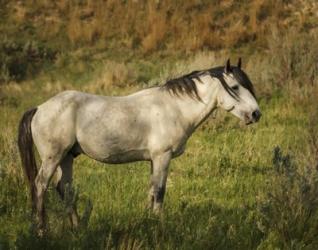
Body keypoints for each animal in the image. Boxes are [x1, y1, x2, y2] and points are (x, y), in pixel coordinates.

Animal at [18, 58, 260, 232]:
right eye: (235, 87)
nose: (256, 114)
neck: (174, 108)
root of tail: (39, 108)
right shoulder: (163, 156)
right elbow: (160, 191)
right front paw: (159, 226)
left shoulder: (155, 159)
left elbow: (152, 190)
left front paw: (148, 222)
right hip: (53, 158)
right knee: (40, 186)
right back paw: (42, 231)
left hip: (67, 158)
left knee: (65, 189)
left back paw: (77, 229)